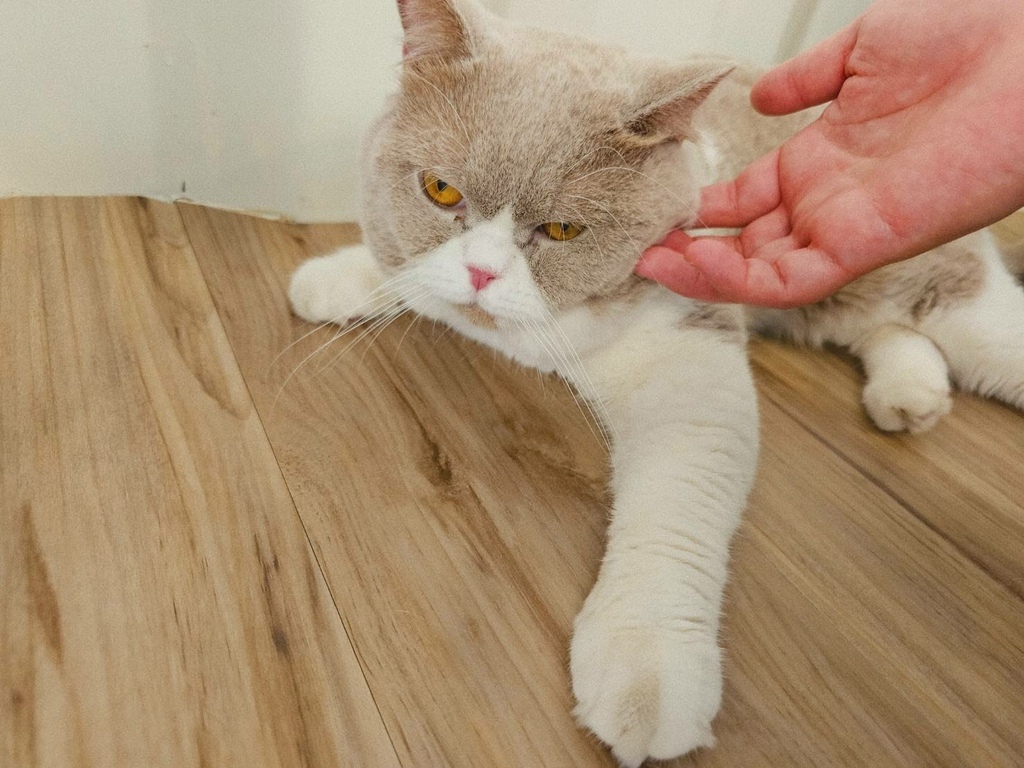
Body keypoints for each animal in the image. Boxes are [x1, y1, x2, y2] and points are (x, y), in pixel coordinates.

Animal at [284, 0, 1024, 765]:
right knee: (886, 330)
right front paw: (341, 277)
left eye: (562, 229)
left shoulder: (692, 364)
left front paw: (649, 667)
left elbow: (675, 514)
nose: (482, 273)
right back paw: (910, 396)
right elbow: (406, 273)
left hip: (952, 303)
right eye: (440, 190)